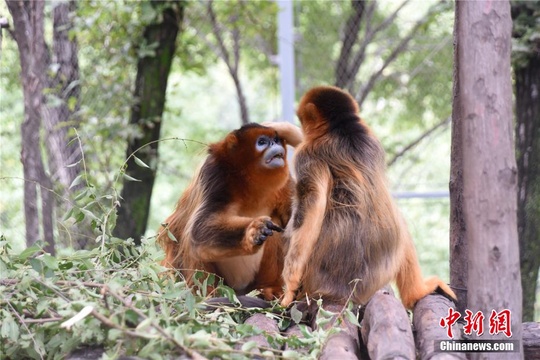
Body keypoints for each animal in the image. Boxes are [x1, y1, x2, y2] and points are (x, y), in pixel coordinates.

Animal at [158, 122, 304, 300]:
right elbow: (199, 229)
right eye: (262, 142)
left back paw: (269, 289)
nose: (274, 144)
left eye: (276, 139)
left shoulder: (284, 183)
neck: (247, 180)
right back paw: (208, 294)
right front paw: (253, 230)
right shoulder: (215, 173)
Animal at [282, 86, 456, 310]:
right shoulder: (371, 136)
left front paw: (289, 287)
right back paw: (416, 293)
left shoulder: (308, 155)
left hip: (316, 277)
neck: (341, 128)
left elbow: (312, 206)